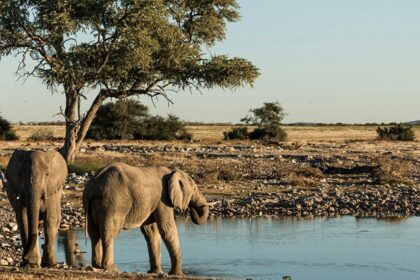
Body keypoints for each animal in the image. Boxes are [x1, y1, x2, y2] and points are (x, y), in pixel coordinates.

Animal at [83, 163, 215, 274]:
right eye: (194, 189)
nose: (190, 210)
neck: (171, 171)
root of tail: (93, 186)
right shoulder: (163, 199)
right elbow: (166, 229)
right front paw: (178, 274)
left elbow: (151, 231)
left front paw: (155, 272)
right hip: (113, 203)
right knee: (110, 233)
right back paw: (112, 269)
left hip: (93, 206)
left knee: (94, 234)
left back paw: (97, 266)